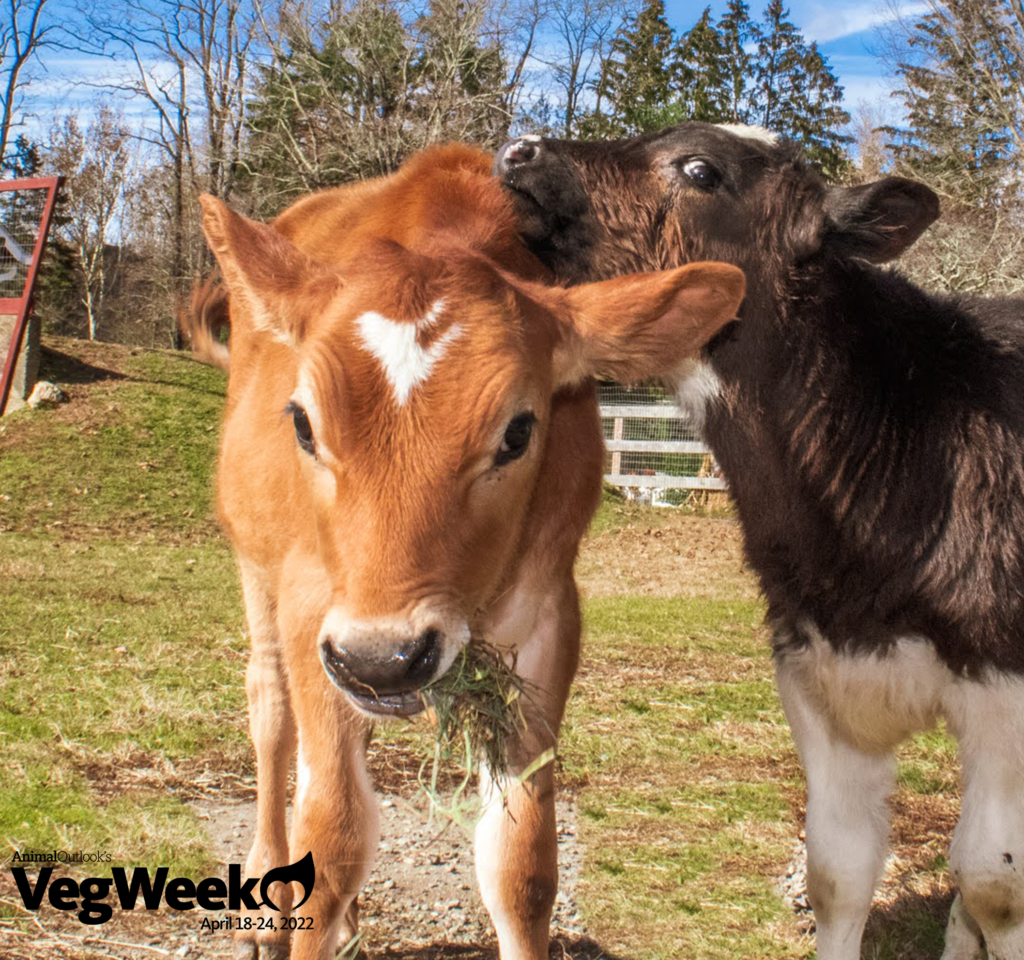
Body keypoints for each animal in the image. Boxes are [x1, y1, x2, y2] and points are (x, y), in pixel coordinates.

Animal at [189, 143, 746, 960]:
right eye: (301, 422)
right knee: (271, 710)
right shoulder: (313, 604)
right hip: (256, 567)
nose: (383, 658)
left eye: (518, 432)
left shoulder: (547, 616)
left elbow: (521, 864)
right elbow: (334, 834)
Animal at [494, 123, 1024, 960]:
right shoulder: (817, 670)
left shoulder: (1004, 685)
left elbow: (994, 883)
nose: (523, 150)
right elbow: (839, 871)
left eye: (700, 169)